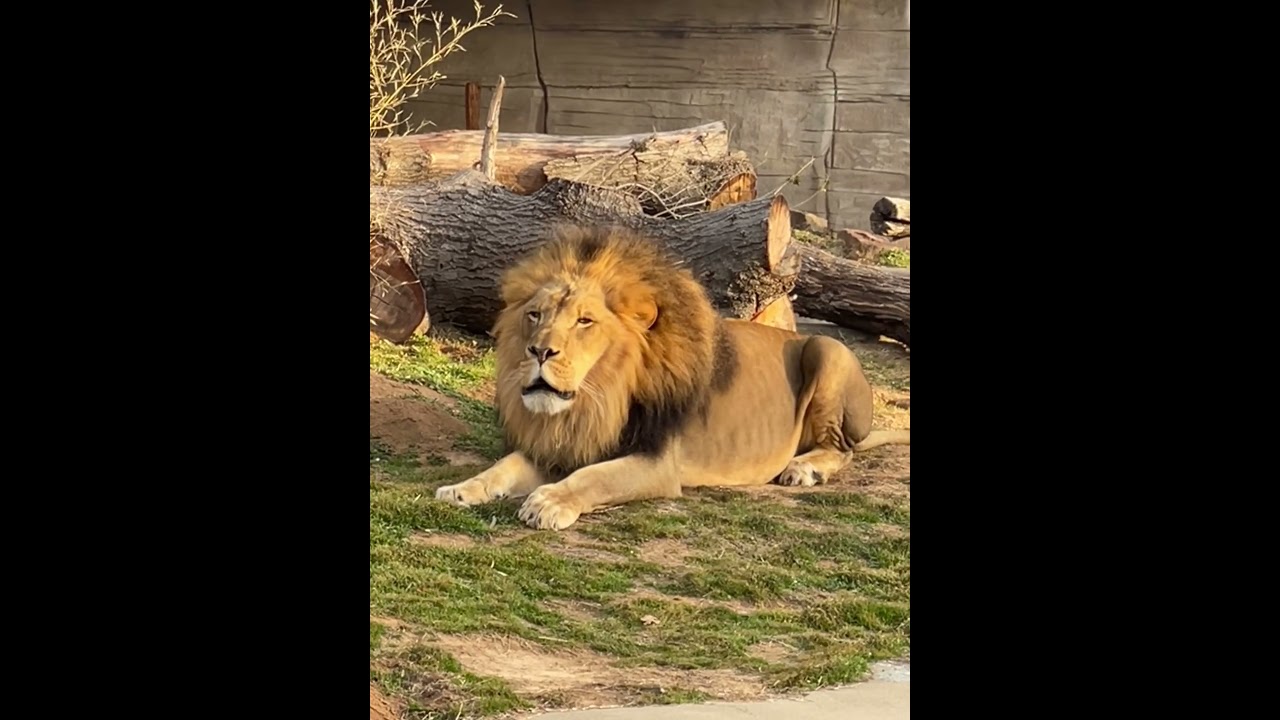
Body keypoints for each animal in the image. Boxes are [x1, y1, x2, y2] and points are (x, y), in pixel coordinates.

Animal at [434, 225, 910, 530]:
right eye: (535, 315)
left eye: (585, 321)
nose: (539, 351)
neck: (598, 398)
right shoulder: (563, 445)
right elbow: (505, 465)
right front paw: (462, 488)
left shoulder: (656, 461)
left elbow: (593, 477)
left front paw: (550, 501)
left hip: (828, 350)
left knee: (842, 449)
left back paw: (803, 468)